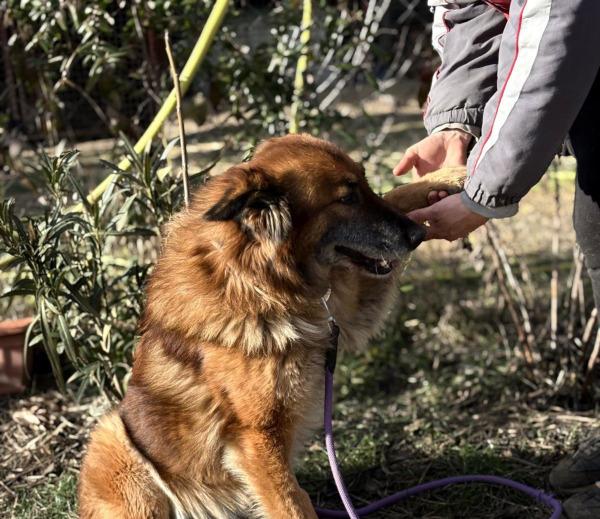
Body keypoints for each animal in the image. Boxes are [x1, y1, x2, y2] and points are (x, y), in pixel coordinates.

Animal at [79, 134, 465, 519]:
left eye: (365, 184)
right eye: (346, 198)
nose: (416, 235)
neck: (260, 279)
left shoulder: (348, 305)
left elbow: (396, 194)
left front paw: (446, 178)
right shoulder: (257, 438)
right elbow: (292, 504)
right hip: (117, 443)